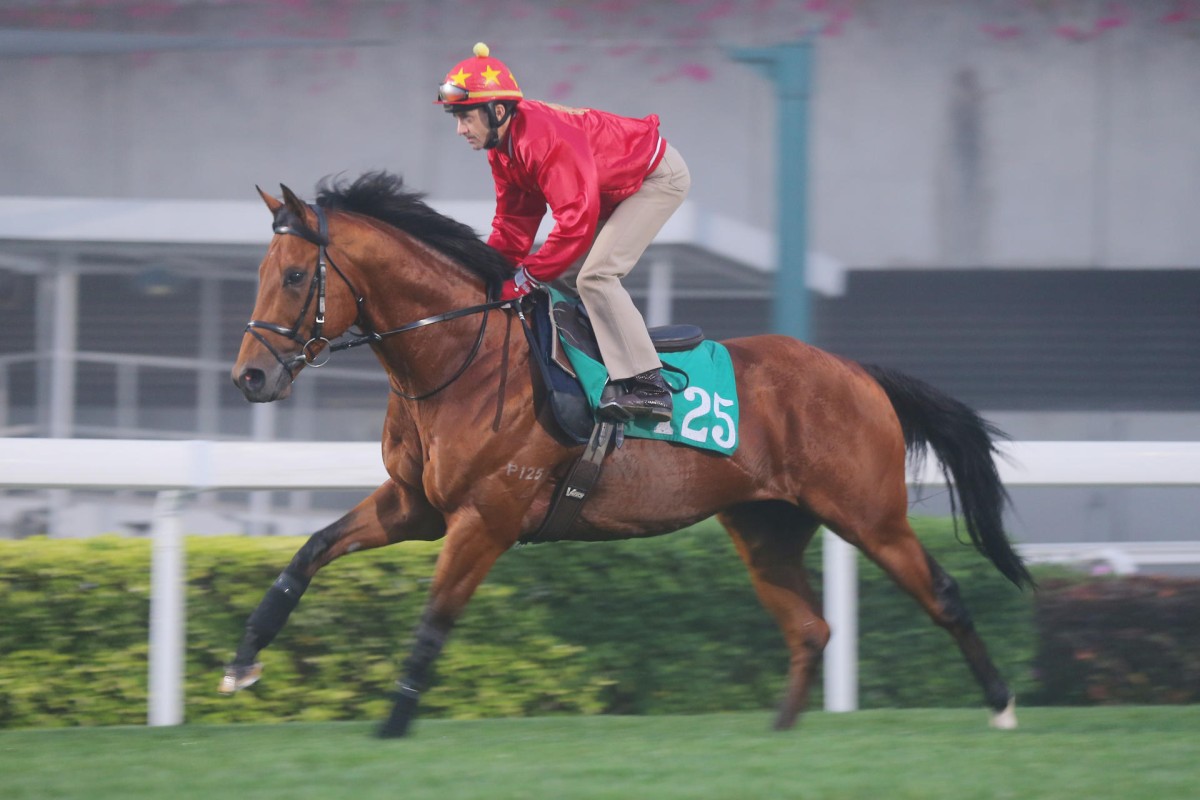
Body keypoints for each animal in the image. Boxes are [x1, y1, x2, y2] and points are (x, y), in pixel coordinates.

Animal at [223, 170, 1032, 738]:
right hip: (765, 526)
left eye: (293, 276)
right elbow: (309, 551)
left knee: (942, 593)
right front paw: (240, 663)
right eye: (260, 274)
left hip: (869, 514)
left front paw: (391, 727)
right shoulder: (415, 506)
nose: (249, 378)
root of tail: (858, 372)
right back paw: (778, 734)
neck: (461, 358)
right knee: (811, 628)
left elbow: (434, 619)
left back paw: (1001, 706)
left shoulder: (486, 517)